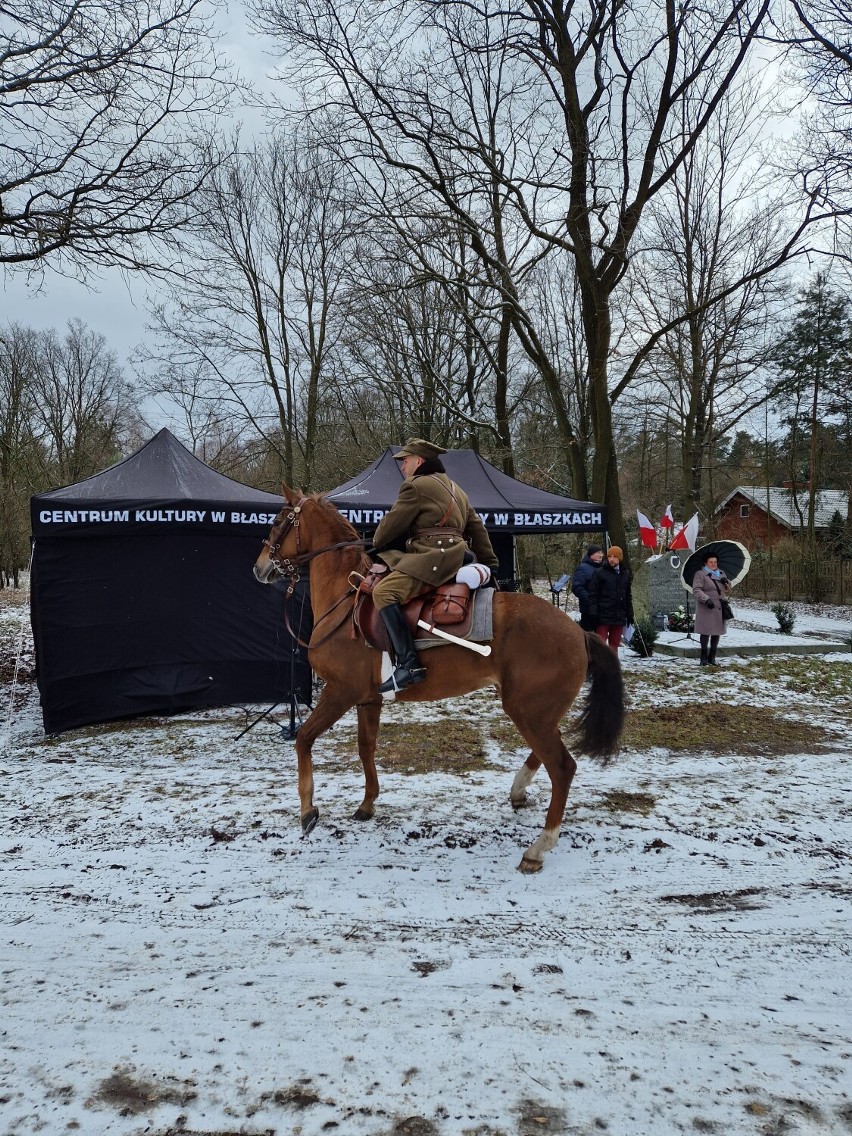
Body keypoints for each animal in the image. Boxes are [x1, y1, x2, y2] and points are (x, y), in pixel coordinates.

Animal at [253, 486, 627, 867]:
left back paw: (539, 846)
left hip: (529, 712)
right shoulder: (368, 700)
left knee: (562, 767)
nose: (260, 567)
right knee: (547, 753)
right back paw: (519, 791)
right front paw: (367, 804)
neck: (344, 602)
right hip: (538, 712)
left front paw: (307, 811)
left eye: (279, 521)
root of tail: (578, 631)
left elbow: (304, 739)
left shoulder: (340, 692)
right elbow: (366, 748)